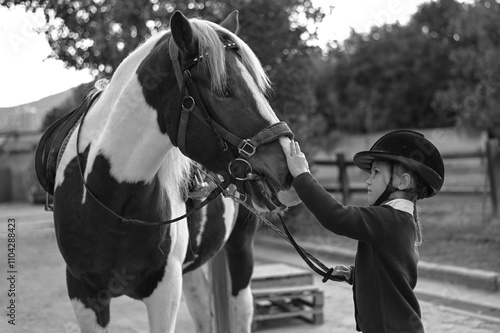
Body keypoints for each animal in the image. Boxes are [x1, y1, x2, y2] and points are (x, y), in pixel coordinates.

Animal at [41, 10, 298, 332]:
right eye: (223, 90)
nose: (287, 166)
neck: (113, 199)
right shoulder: (83, 294)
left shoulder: (164, 292)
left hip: (240, 251)